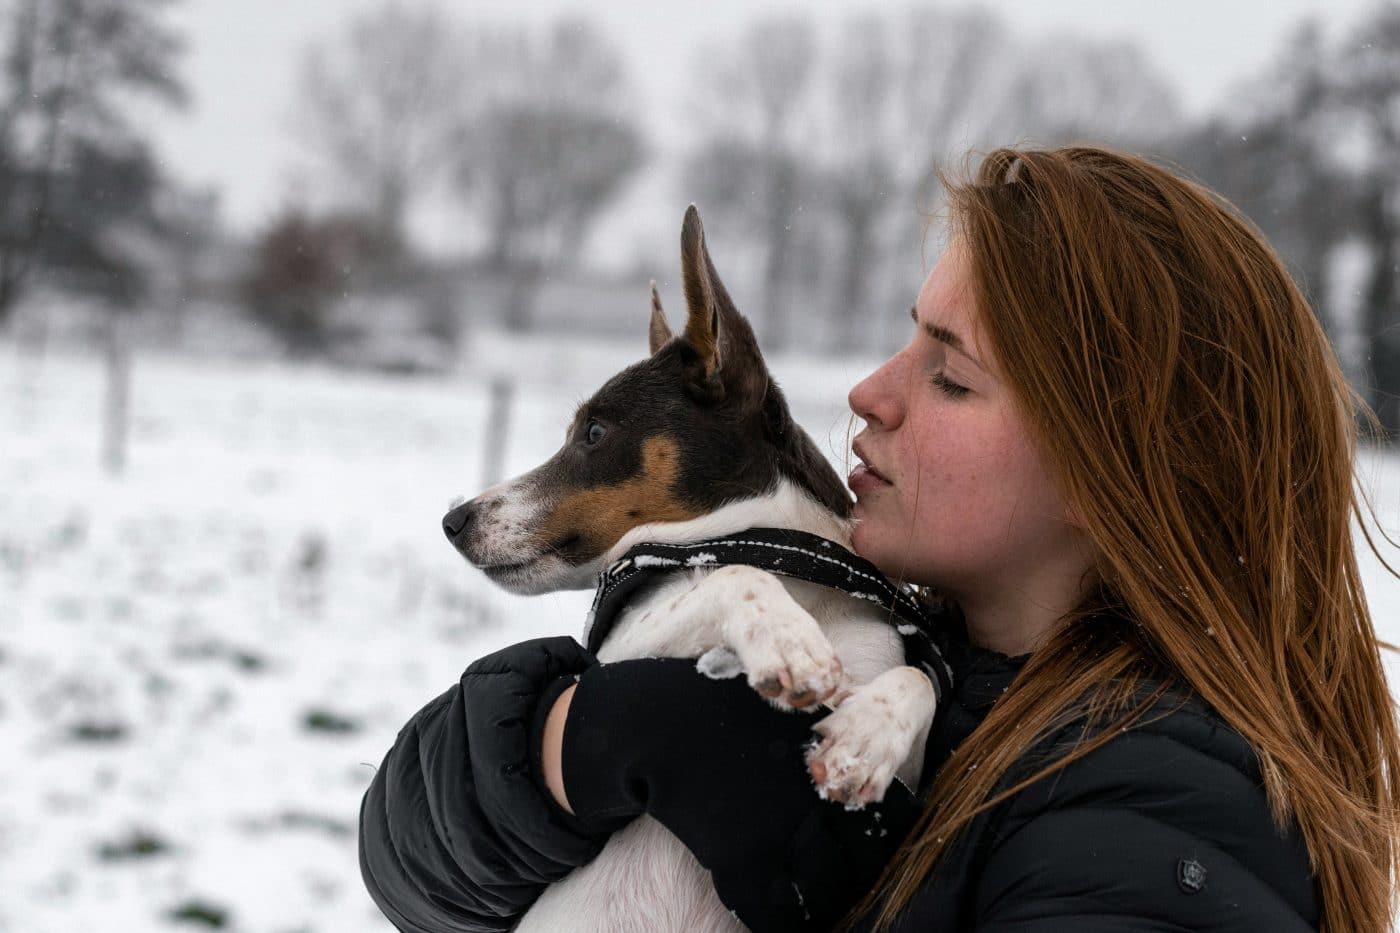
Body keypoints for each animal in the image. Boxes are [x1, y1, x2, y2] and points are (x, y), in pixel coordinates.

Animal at [442, 207, 935, 924]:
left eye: (595, 433)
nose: (454, 521)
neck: (794, 574)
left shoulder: (910, 777)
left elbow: (920, 681)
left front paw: (864, 739)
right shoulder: (609, 664)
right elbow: (731, 576)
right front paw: (789, 644)